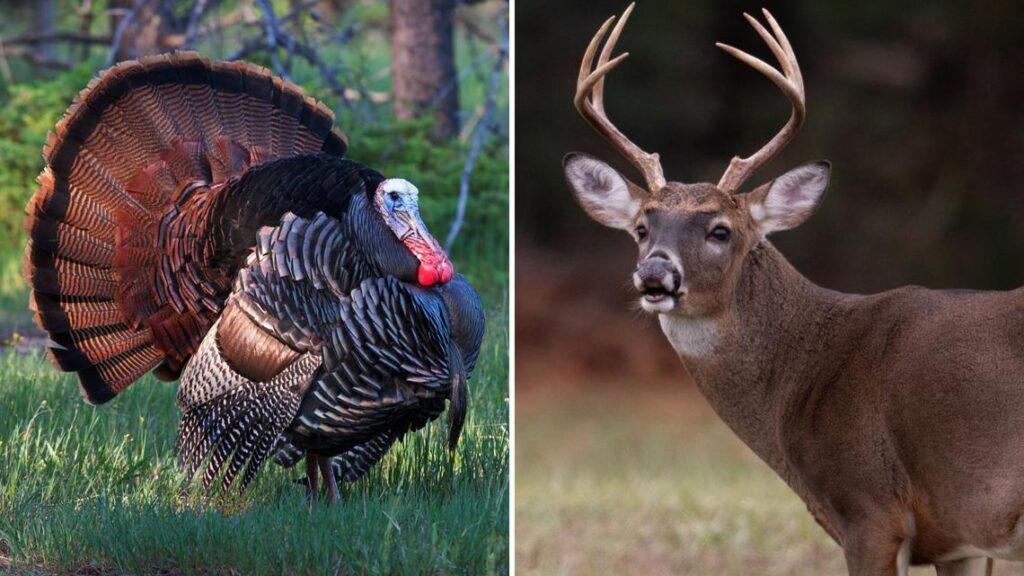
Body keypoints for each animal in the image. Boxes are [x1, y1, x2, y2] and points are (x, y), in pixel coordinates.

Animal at [562, 4, 1024, 576]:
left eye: (721, 230)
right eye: (642, 228)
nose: (654, 274)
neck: (805, 373)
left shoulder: (869, 505)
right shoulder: (962, 540)